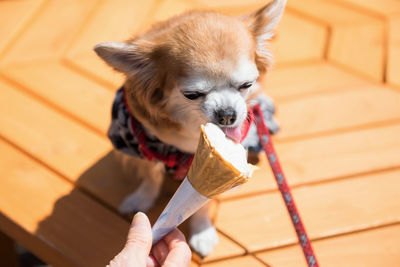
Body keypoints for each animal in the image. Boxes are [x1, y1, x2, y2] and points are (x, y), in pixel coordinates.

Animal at [95, 0, 286, 258]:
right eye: (192, 95)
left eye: (246, 85)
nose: (228, 114)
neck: (193, 130)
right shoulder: (142, 142)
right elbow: (151, 176)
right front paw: (141, 199)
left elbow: (204, 205)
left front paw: (202, 231)